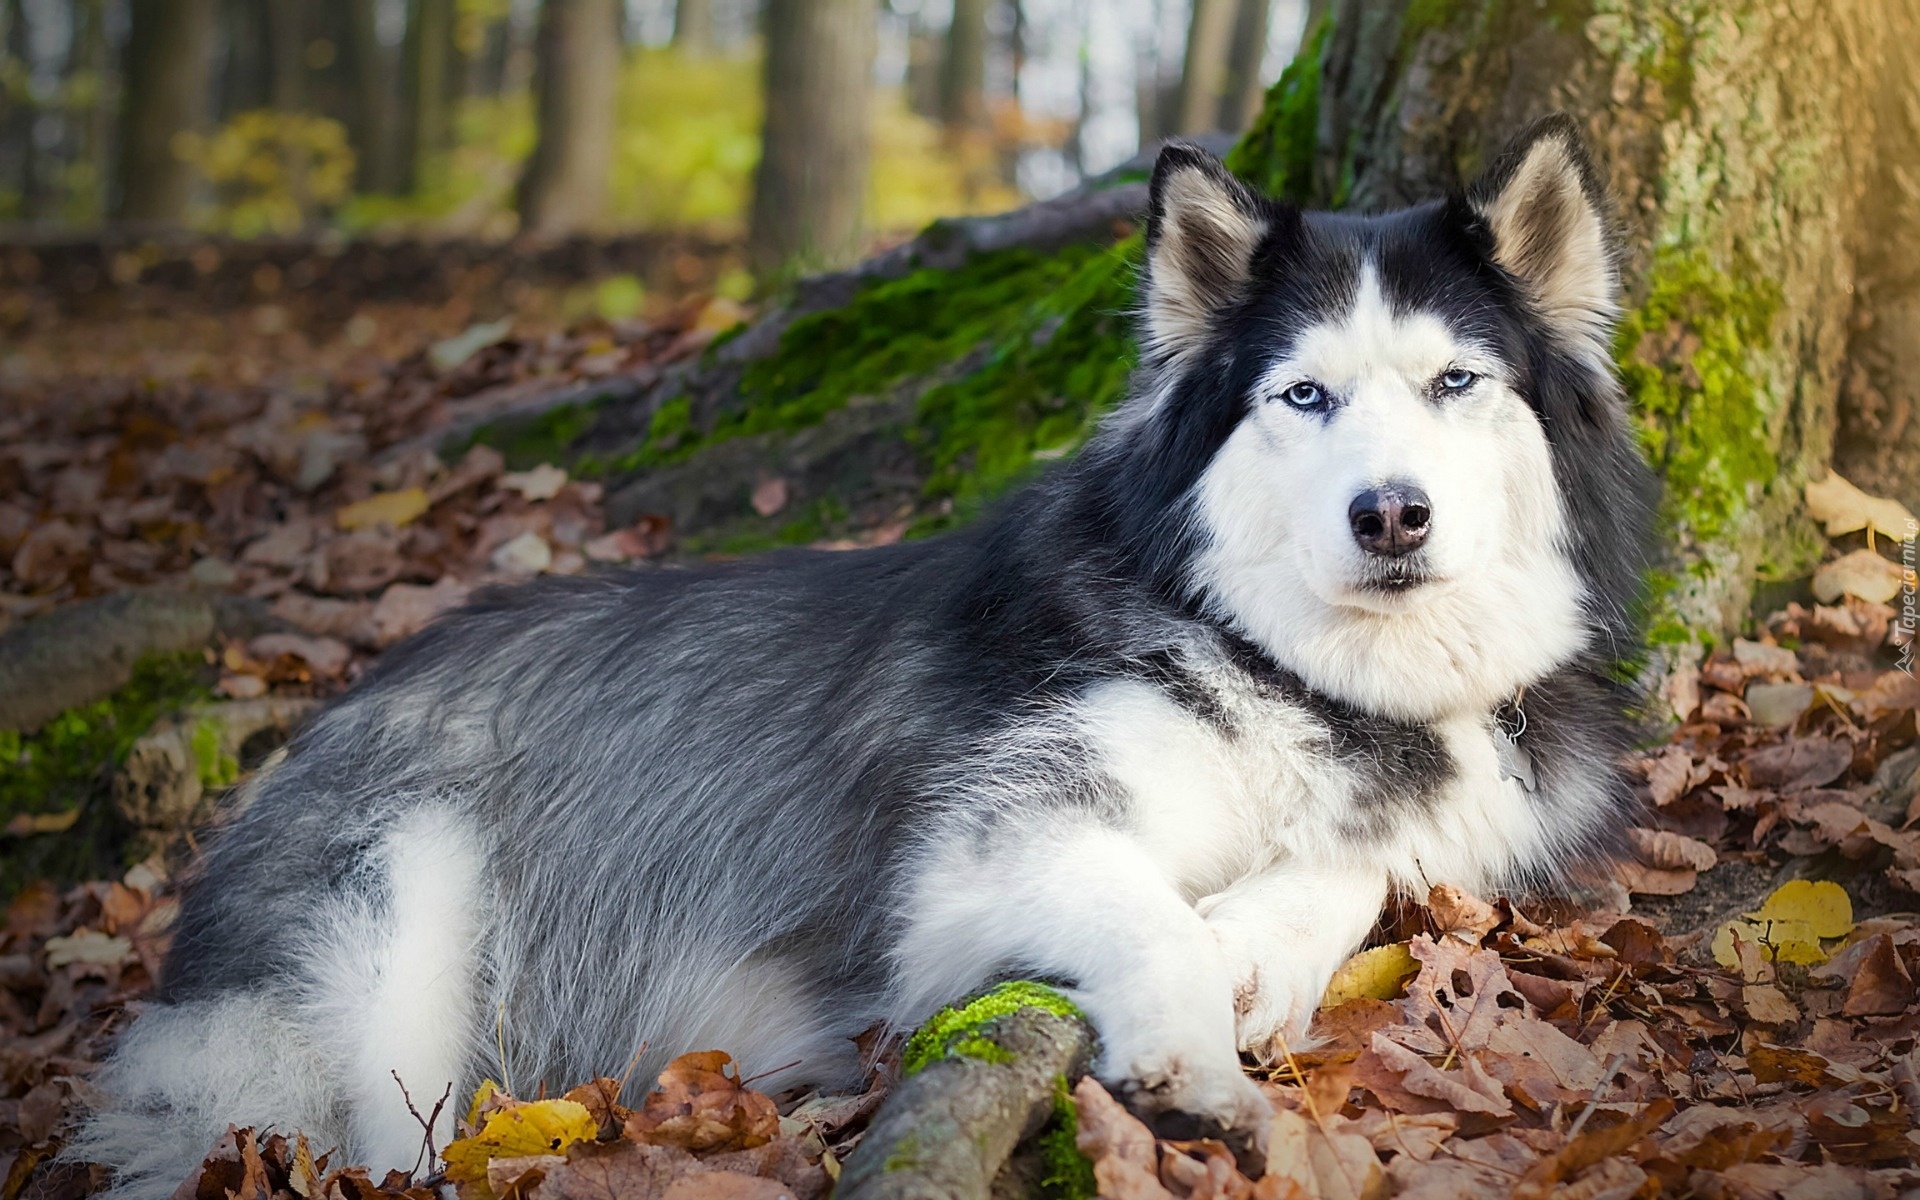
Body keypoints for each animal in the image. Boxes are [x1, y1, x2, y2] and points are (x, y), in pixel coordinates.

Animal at [78, 114, 1651, 1190]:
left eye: (1456, 382)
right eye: (1305, 396)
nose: (1390, 514)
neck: (1299, 673)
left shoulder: (1461, 805)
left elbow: (1363, 867)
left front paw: (1259, 942)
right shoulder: (980, 852)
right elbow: (1145, 909)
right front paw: (1197, 1052)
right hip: (388, 939)